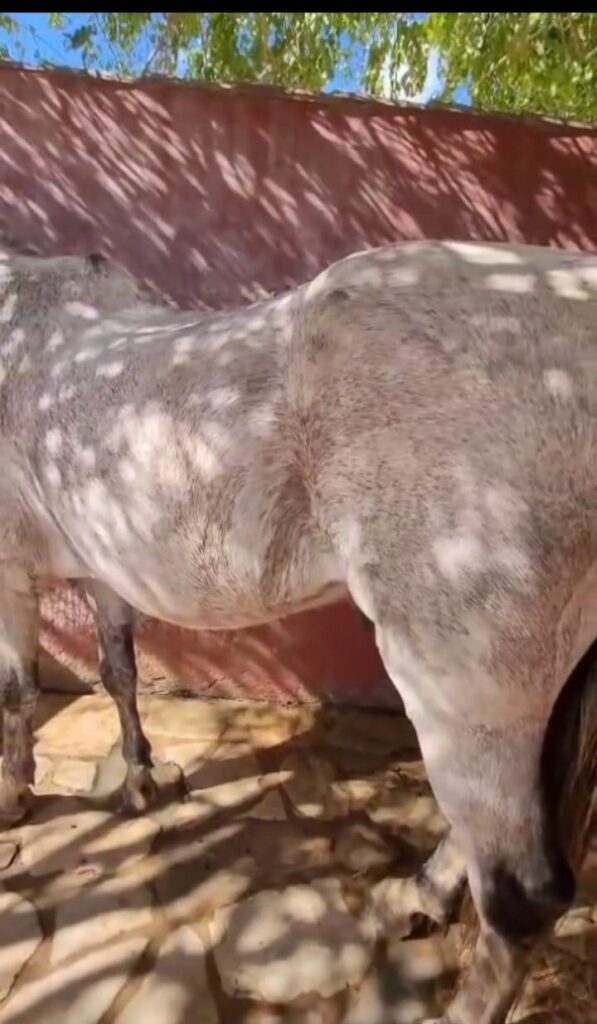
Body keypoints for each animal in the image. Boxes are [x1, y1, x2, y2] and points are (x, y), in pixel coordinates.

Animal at [0, 237, 595, 1024]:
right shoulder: (102, 563)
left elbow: (18, 691)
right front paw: (138, 777)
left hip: (460, 673)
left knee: (521, 895)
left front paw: (14, 795)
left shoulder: (8, 563)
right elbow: (118, 671)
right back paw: (416, 900)